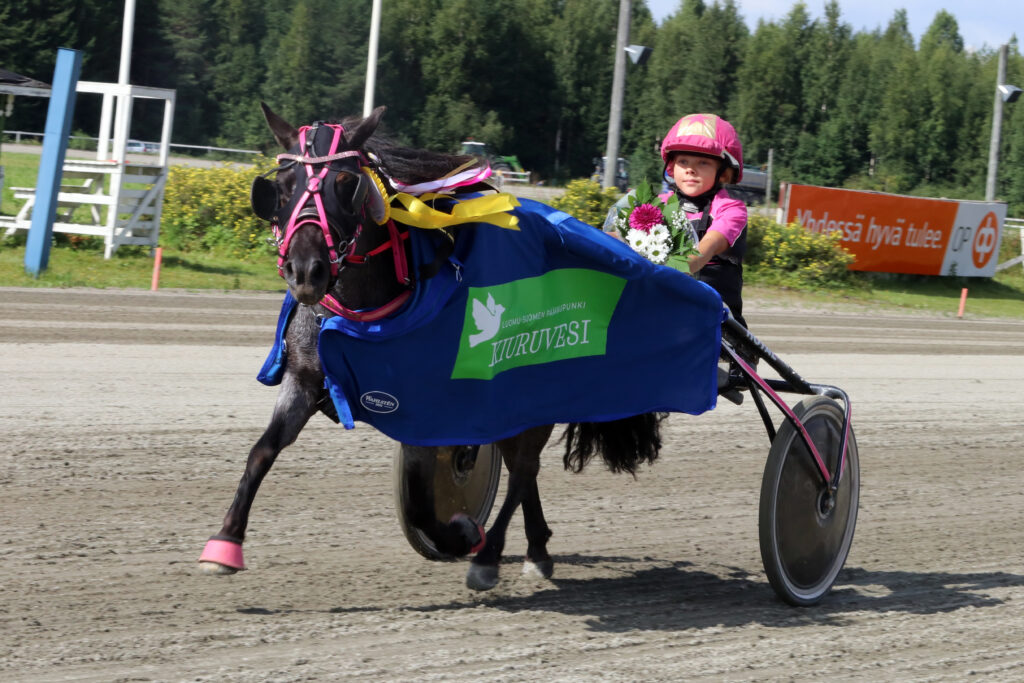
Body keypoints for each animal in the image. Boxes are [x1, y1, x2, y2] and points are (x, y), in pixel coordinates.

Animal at [198, 104, 663, 589]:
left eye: (346, 183)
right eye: (283, 184)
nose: (306, 270)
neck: (366, 308)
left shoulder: (426, 407)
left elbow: (424, 503)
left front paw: (463, 533)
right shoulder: (304, 377)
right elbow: (263, 450)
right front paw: (225, 540)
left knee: (523, 467)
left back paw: (489, 555)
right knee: (520, 463)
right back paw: (537, 548)